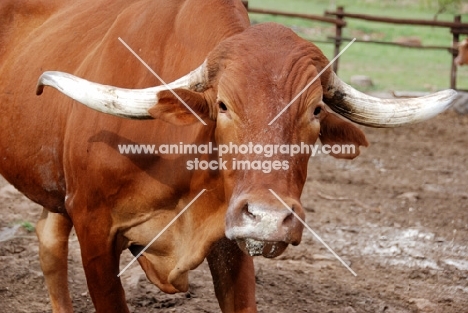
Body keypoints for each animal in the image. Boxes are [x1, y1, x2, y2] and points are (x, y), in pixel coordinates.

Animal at [0, 0, 456, 312]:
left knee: (48, 237)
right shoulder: (94, 227)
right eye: (223, 105)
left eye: (315, 110)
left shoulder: (232, 243)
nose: (270, 218)